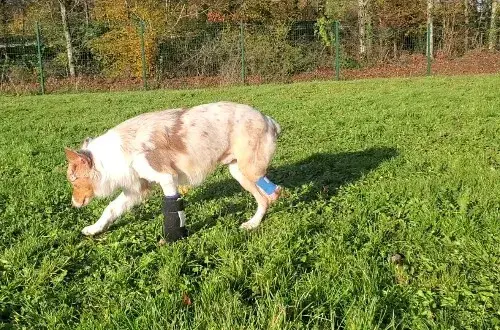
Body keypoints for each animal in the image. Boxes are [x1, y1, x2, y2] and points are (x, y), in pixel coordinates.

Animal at [64, 100, 282, 235]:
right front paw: (94, 229)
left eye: (73, 180)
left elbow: (172, 211)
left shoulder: (167, 178)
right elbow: (109, 210)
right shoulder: (136, 191)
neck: (113, 156)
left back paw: (252, 223)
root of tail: (268, 118)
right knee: (272, 193)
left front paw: (172, 238)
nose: (73, 205)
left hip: (249, 169)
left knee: (266, 197)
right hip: (239, 172)